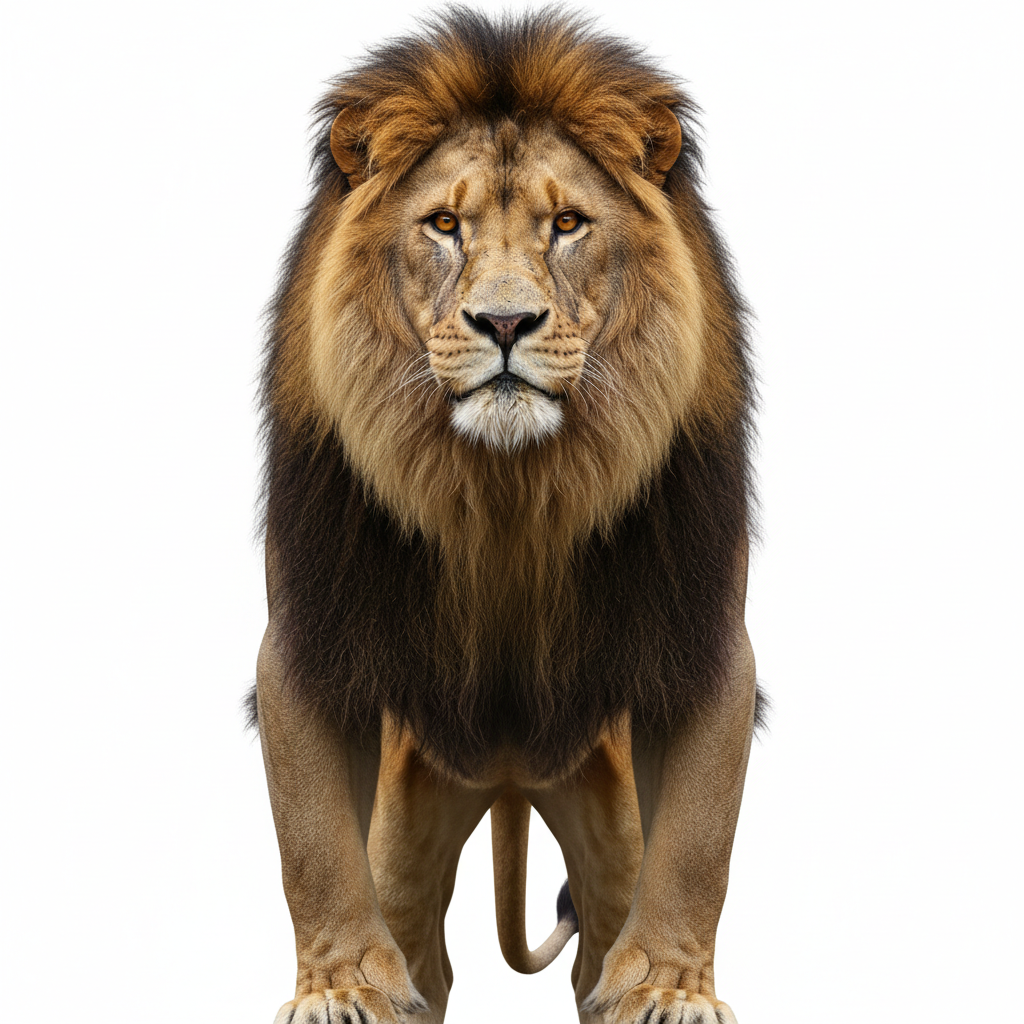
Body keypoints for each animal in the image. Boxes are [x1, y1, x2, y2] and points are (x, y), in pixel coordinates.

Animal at [252, 10, 760, 1024]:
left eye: (566, 225)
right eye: (445, 225)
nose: (504, 324)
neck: (507, 492)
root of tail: (508, 780)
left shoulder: (705, 637)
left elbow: (698, 841)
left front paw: (672, 985)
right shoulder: (306, 638)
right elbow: (311, 840)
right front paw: (338, 985)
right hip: (412, 814)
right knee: (419, 947)